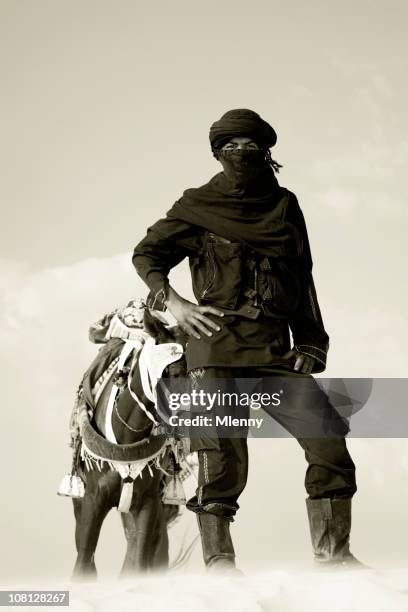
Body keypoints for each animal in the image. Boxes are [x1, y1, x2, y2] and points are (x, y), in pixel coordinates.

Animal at [72, 310, 187, 580]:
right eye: (170, 371)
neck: (127, 434)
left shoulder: (148, 504)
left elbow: (141, 559)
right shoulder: (92, 499)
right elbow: (83, 559)